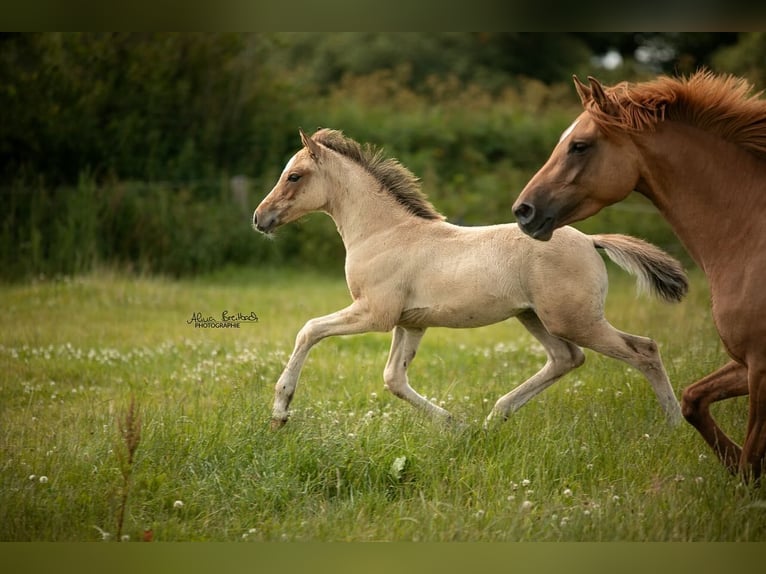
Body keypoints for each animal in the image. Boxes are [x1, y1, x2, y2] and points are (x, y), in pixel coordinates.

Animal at [254, 128, 688, 430]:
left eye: (294, 176)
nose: (260, 218)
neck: (384, 232)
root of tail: (591, 240)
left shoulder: (374, 314)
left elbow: (309, 330)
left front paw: (280, 412)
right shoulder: (410, 322)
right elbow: (394, 378)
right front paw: (454, 424)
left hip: (574, 320)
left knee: (643, 350)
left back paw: (674, 424)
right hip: (534, 317)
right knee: (567, 358)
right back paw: (494, 417)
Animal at [512, 71, 766, 486]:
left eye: (579, 146)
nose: (523, 210)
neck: (749, 233)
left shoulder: (759, 365)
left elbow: (749, 453)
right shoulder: (746, 363)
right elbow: (693, 400)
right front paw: (734, 464)